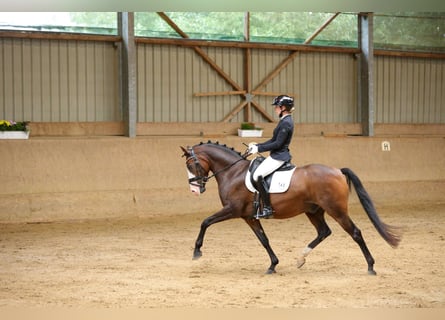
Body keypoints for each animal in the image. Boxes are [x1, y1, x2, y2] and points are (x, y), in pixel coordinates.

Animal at [179, 142, 400, 276]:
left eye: (191, 164)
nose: (194, 190)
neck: (233, 172)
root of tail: (337, 170)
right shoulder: (249, 217)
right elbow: (264, 240)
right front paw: (273, 265)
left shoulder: (232, 210)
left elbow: (205, 222)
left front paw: (197, 252)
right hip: (314, 211)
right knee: (324, 232)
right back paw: (301, 259)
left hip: (336, 210)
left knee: (355, 233)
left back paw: (371, 266)